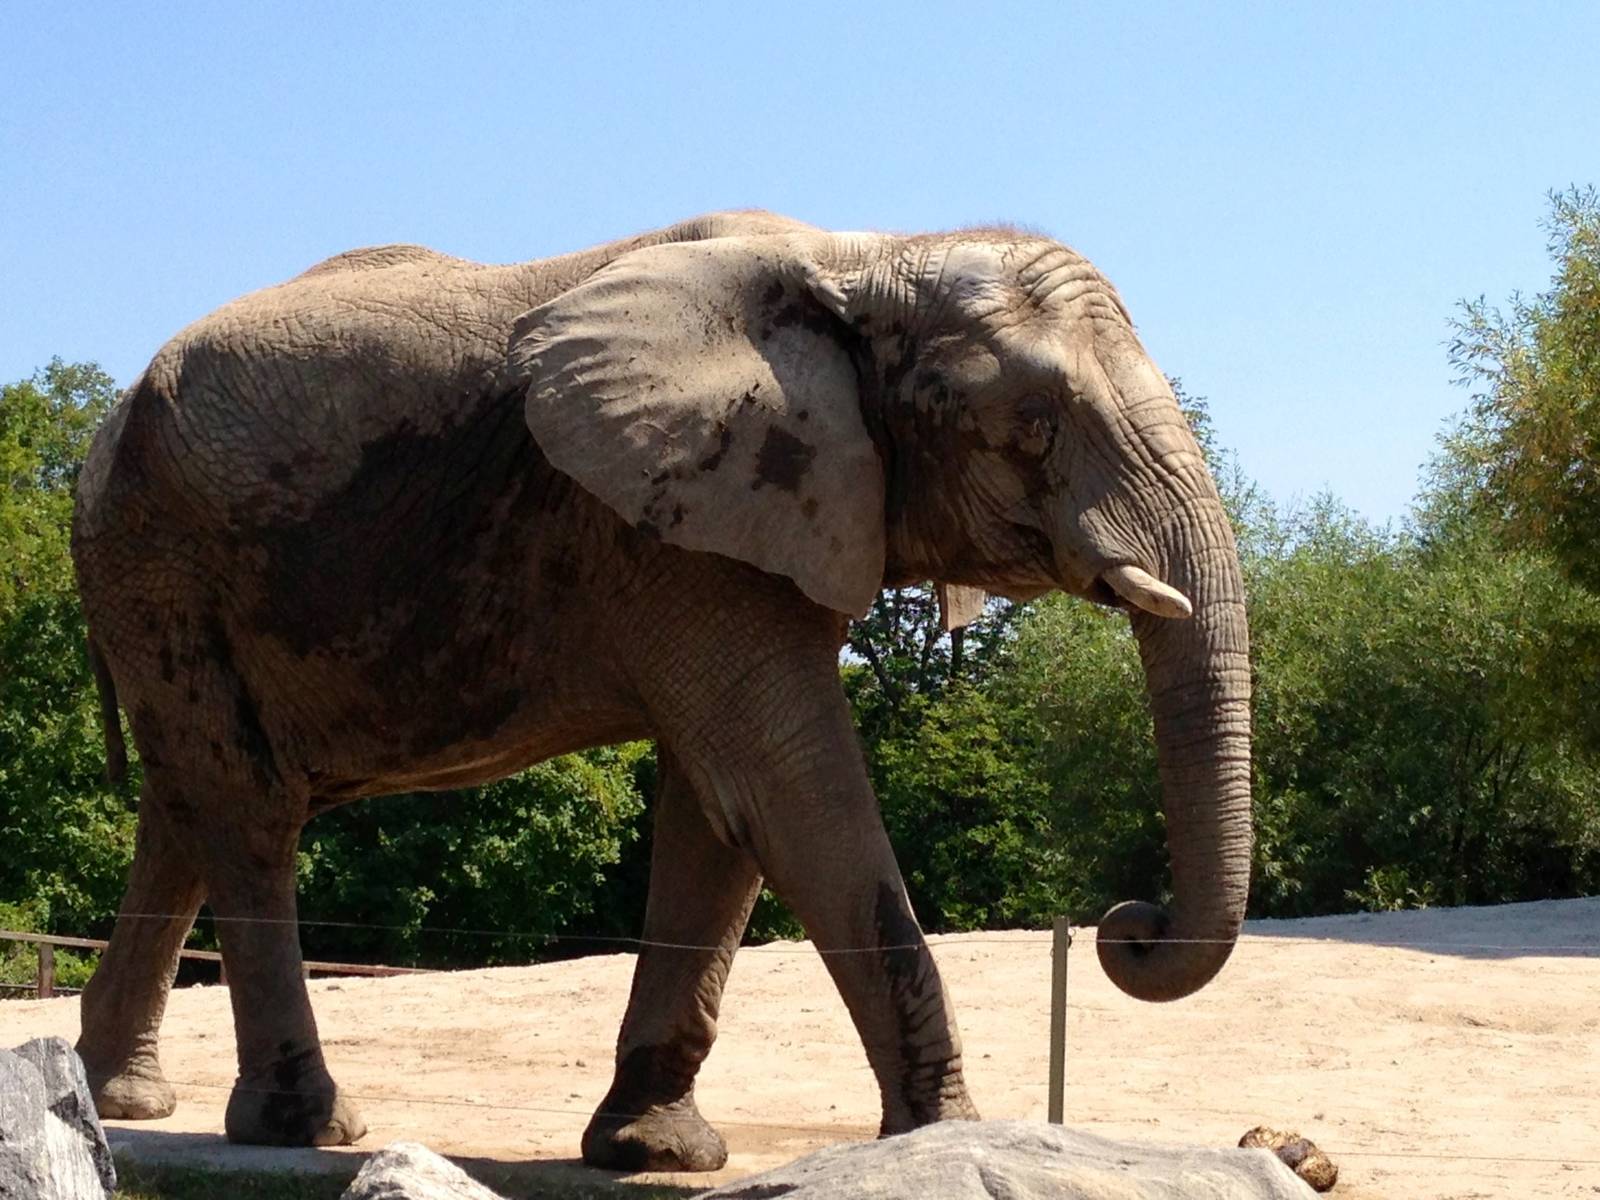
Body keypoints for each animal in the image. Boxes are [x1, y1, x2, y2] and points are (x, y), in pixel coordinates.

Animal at [70, 209, 1252, 1171]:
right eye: (1032, 425)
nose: (1129, 926)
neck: (863, 259)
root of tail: (102, 425)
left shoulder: (734, 520)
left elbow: (718, 817)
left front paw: (651, 1153)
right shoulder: (676, 522)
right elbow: (789, 792)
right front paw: (945, 1139)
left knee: (186, 804)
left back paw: (114, 1096)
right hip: (160, 552)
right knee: (247, 810)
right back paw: (303, 1127)